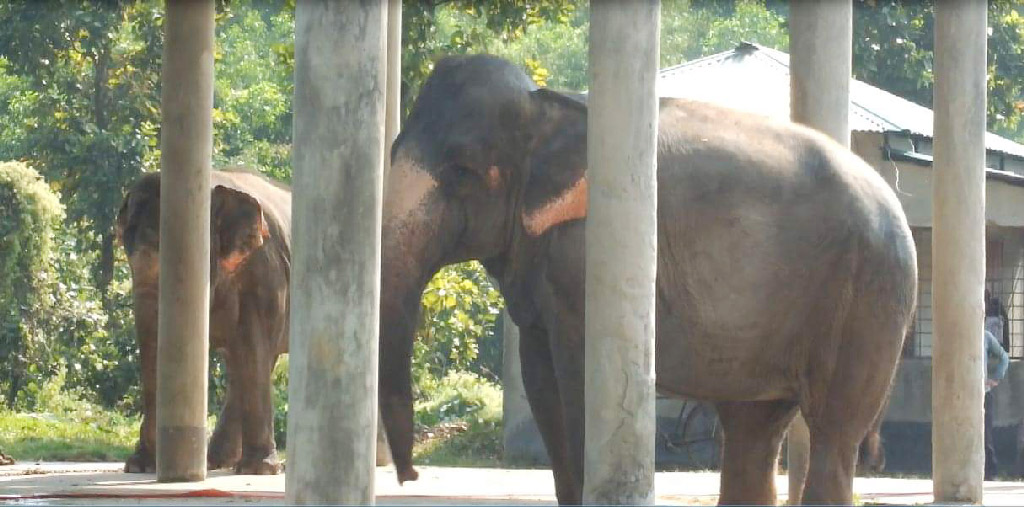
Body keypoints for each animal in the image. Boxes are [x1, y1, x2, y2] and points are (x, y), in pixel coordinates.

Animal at [117, 167, 292, 475]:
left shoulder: (264, 273)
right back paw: (216, 461)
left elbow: (253, 351)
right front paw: (140, 466)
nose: (142, 462)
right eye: (129, 259)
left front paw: (259, 470)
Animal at [378, 55, 921, 507]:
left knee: (833, 434)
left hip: (869, 295)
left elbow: (577, 379)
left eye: (461, 171)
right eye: (394, 148)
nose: (410, 476)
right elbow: (541, 384)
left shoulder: (582, 252)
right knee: (752, 429)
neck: (546, 108)